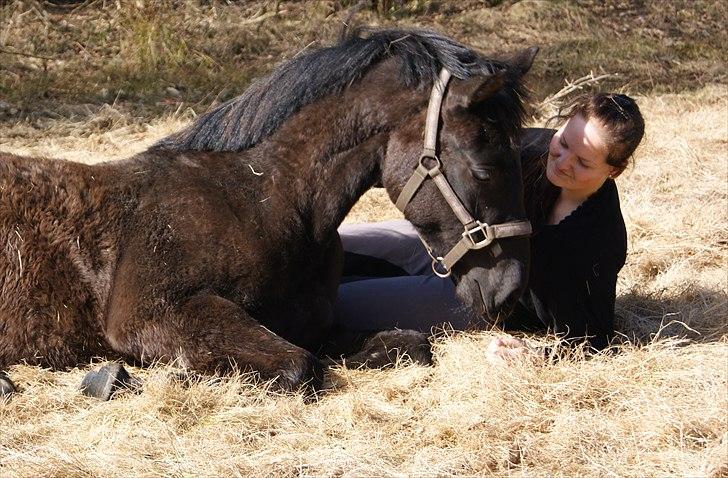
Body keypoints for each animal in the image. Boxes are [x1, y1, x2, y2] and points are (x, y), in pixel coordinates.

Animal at [0, 28, 536, 398]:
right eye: (485, 166)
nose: (509, 290)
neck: (266, 200)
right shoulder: (151, 313)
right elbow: (299, 367)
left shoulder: (312, 322)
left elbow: (410, 344)